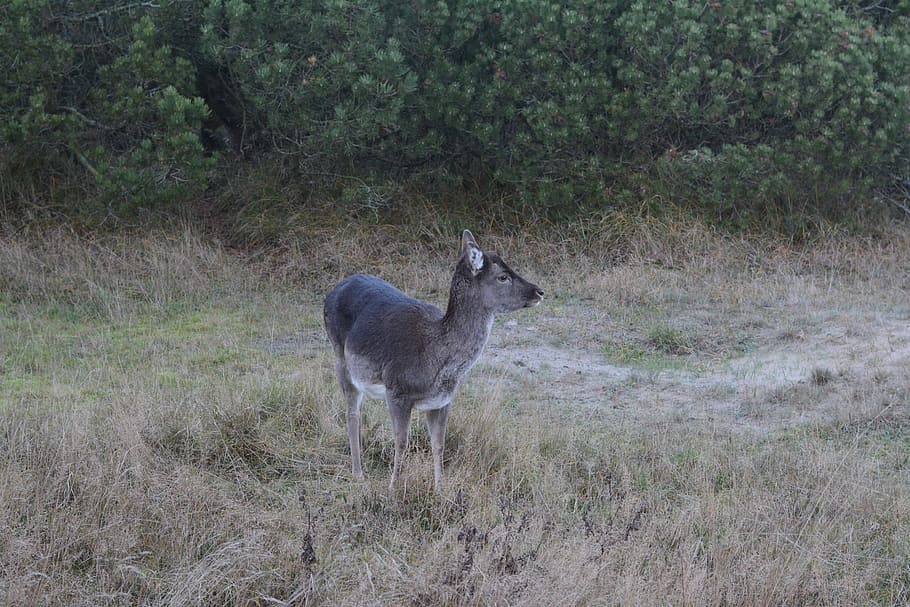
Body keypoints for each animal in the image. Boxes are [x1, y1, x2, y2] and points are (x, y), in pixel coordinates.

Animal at [324, 230, 543, 492]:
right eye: (502, 276)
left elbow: (438, 443)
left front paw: (440, 489)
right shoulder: (396, 390)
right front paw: (394, 488)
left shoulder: (442, 400)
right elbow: (401, 442)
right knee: (352, 413)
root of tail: (331, 291)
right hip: (339, 356)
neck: (436, 360)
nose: (539, 291)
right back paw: (358, 473)